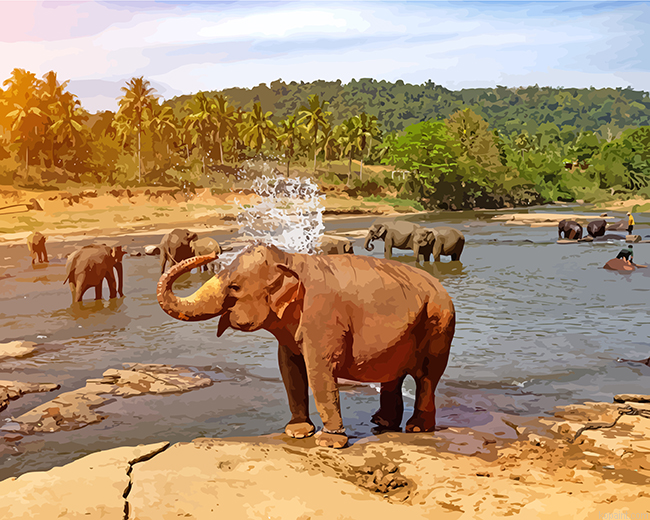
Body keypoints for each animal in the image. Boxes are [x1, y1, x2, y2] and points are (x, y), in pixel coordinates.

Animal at [157, 244, 455, 449]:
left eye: (234, 287)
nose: (213, 254)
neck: (289, 259)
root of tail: (441, 286)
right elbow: (290, 369)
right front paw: (297, 432)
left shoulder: (322, 317)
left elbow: (318, 370)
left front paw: (329, 443)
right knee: (394, 376)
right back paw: (381, 422)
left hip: (440, 324)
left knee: (428, 376)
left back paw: (417, 429)